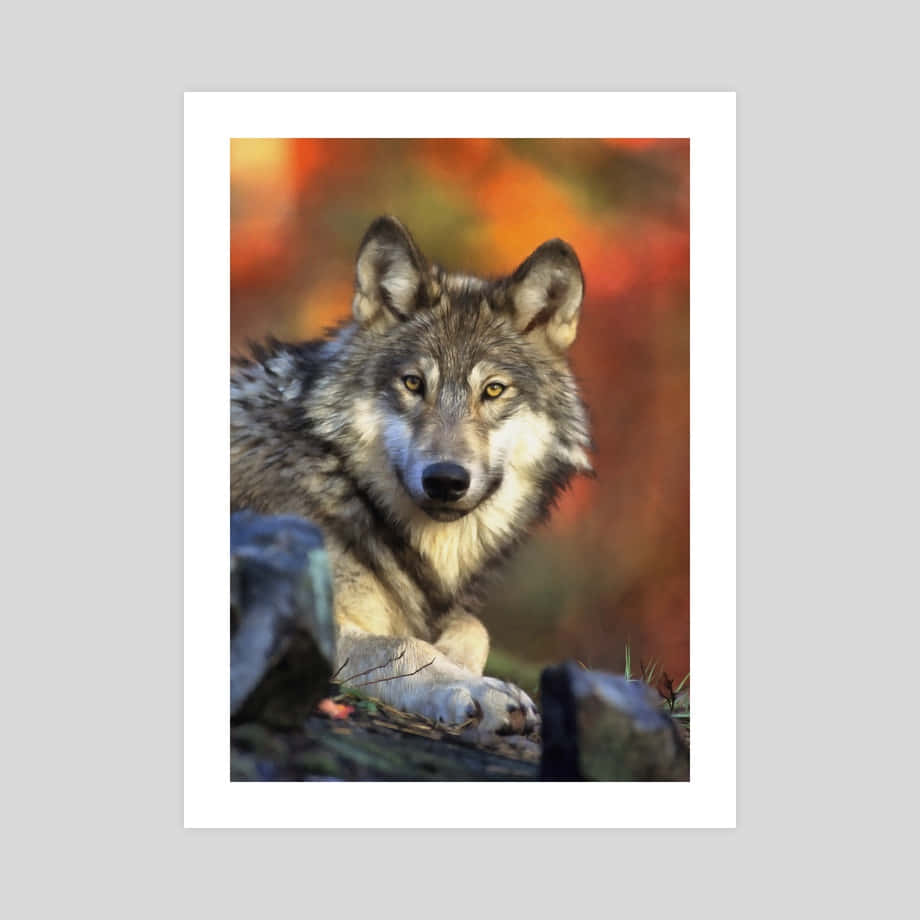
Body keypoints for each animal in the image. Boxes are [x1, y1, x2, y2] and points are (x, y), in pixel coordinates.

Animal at [231, 216, 592, 736]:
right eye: (414, 384)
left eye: (493, 390)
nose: (445, 480)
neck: (341, 482)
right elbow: (403, 645)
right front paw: (478, 690)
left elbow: (474, 628)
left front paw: (466, 667)